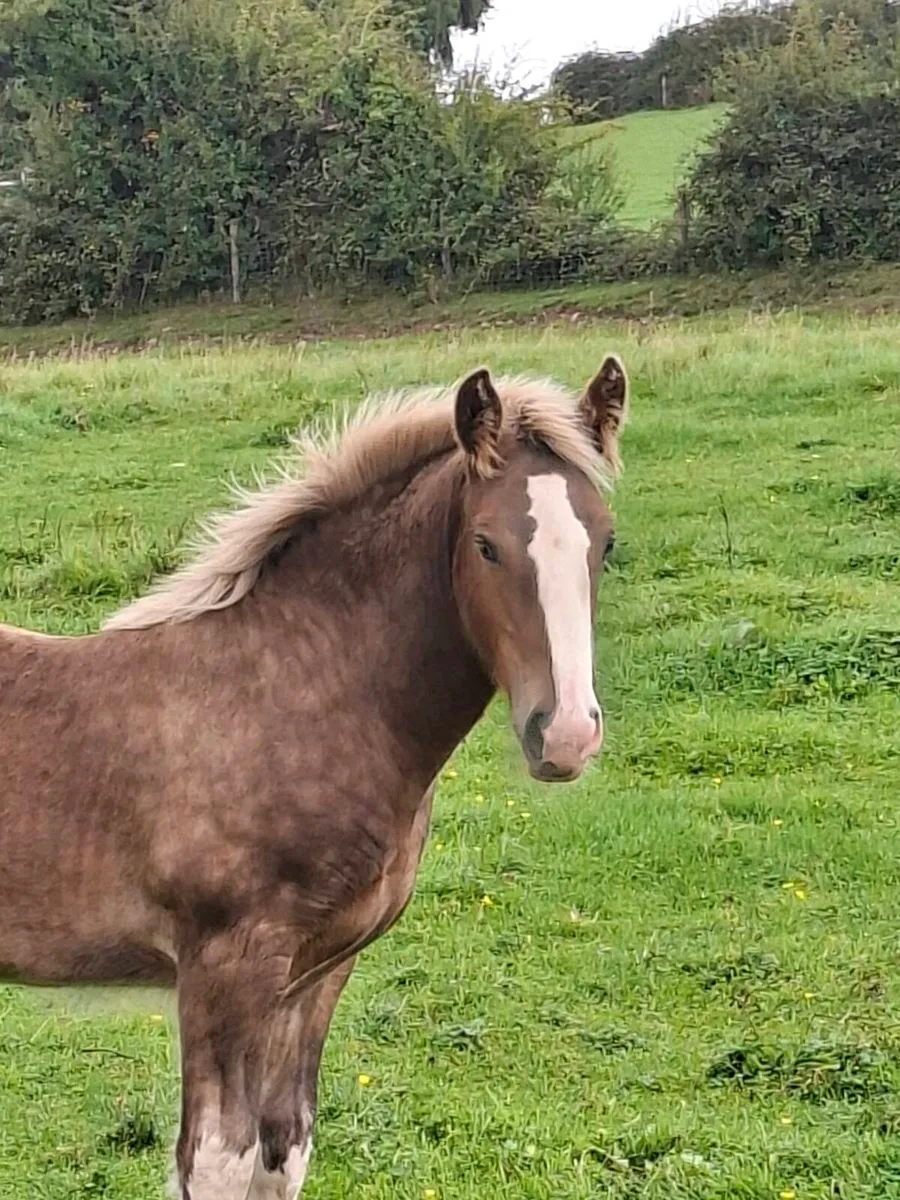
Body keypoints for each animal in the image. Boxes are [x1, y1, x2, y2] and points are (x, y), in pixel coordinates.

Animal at [0, 354, 629, 1198]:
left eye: (606, 543)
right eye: (487, 544)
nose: (564, 734)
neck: (296, 693)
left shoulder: (317, 971)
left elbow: (284, 1148)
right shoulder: (225, 966)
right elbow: (219, 1164)